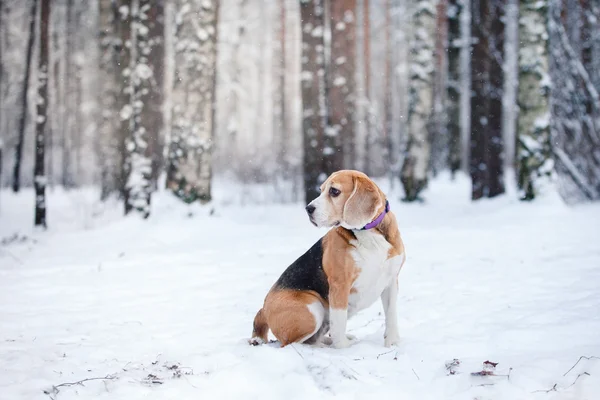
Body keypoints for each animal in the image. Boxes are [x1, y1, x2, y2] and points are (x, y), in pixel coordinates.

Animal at [251, 170, 406, 348]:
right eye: (321, 190)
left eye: (334, 191)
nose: (308, 209)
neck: (368, 232)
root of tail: (263, 309)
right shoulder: (340, 285)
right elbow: (339, 322)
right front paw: (343, 347)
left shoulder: (391, 281)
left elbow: (391, 314)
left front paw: (393, 342)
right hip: (313, 308)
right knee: (294, 343)